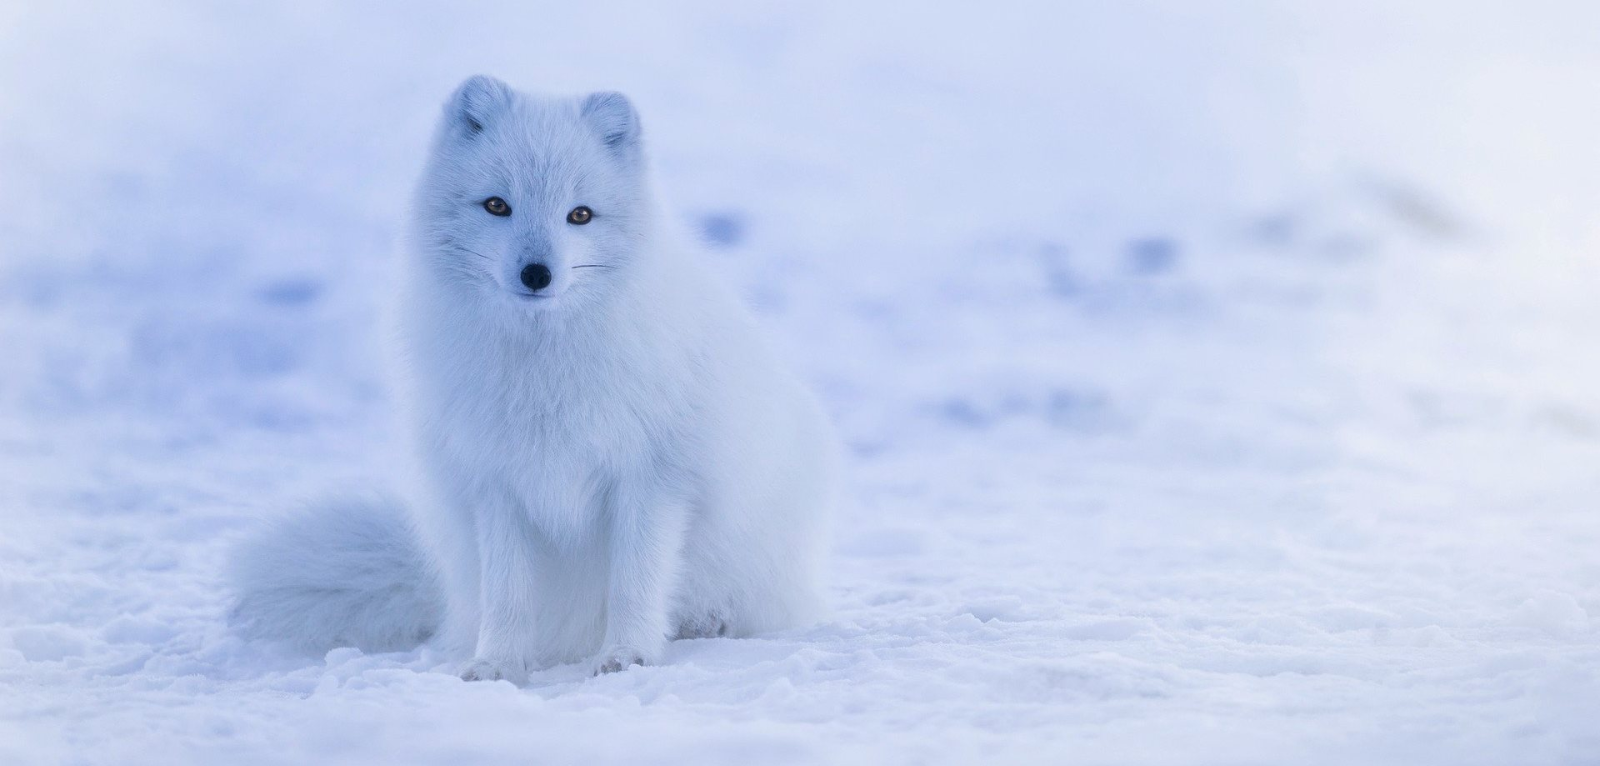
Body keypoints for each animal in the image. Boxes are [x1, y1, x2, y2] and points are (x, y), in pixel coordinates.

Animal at [233, 75, 851, 681]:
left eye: (580, 215)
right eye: (497, 205)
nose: (536, 273)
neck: (543, 369)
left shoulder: (652, 478)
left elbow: (636, 582)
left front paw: (628, 656)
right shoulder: (496, 483)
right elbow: (508, 594)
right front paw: (498, 665)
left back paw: (708, 624)